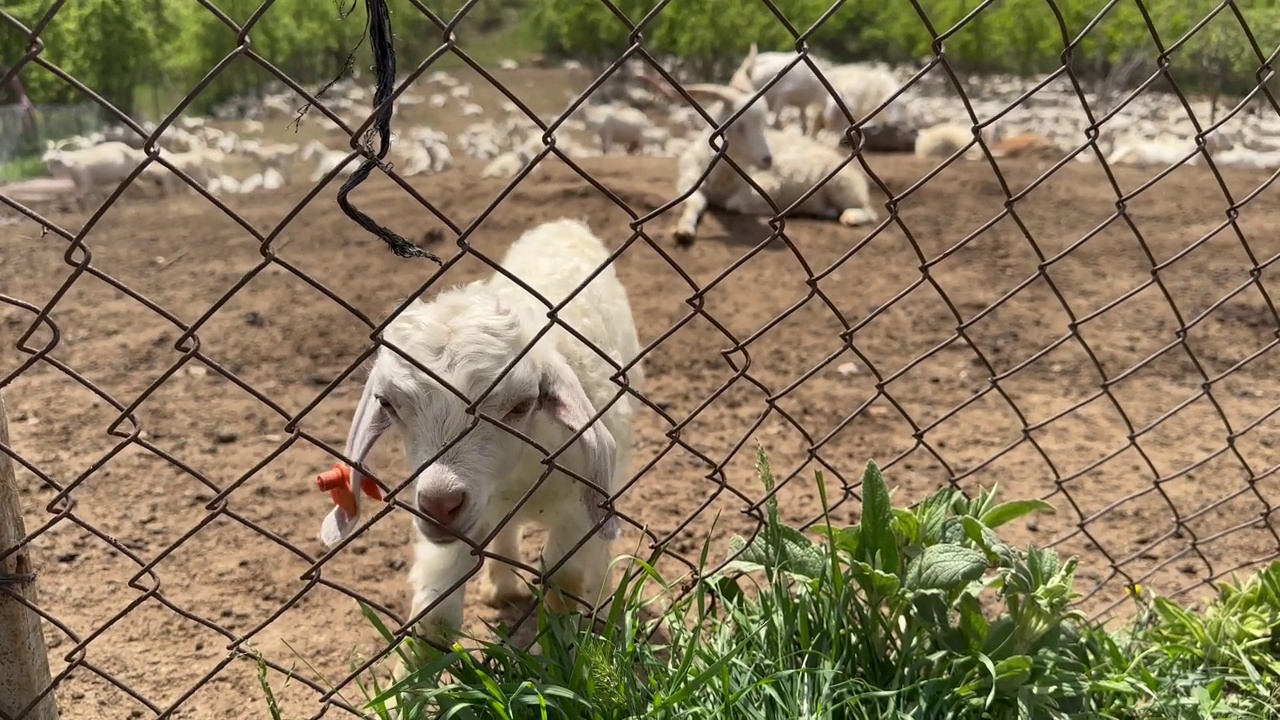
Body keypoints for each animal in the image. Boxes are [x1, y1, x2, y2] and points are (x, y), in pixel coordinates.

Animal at [320, 217, 640, 638]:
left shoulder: (578, 510)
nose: (440, 505)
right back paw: (502, 587)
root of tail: (565, 224)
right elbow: (435, 618)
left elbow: (564, 586)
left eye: (522, 404)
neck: (520, 472)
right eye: (387, 404)